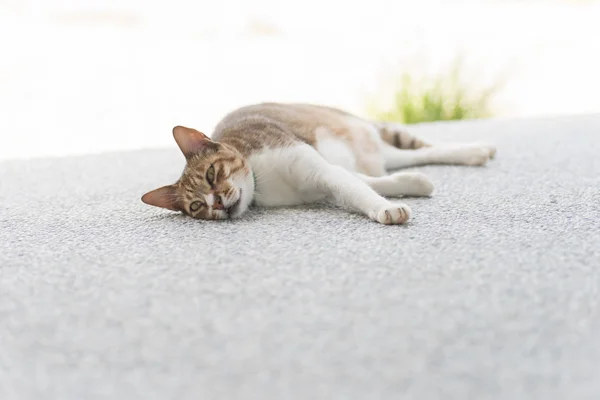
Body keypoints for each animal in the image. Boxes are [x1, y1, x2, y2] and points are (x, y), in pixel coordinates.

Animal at [142, 101, 496, 223]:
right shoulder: (323, 180)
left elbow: (360, 190)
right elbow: (368, 184)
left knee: (420, 151)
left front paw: (386, 208)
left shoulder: (319, 169)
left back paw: (475, 151)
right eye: (196, 207)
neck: (263, 182)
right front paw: (413, 185)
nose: (215, 204)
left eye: (212, 174)